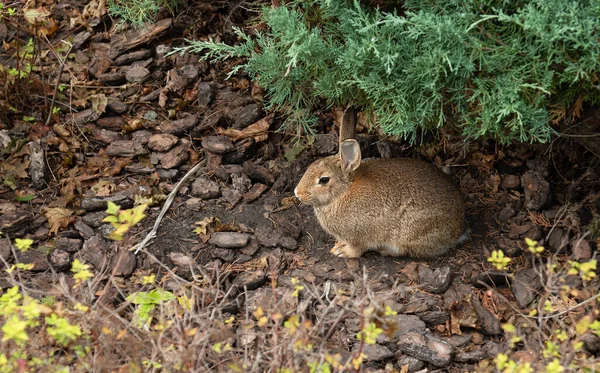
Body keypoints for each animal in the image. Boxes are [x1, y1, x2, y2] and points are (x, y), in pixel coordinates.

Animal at [296, 138, 468, 258]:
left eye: (324, 180)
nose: (297, 193)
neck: (343, 192)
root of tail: (459, 229)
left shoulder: (359, 236)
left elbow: (356, 250)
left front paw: (342, 252)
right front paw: (338, 246)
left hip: (411, 233)